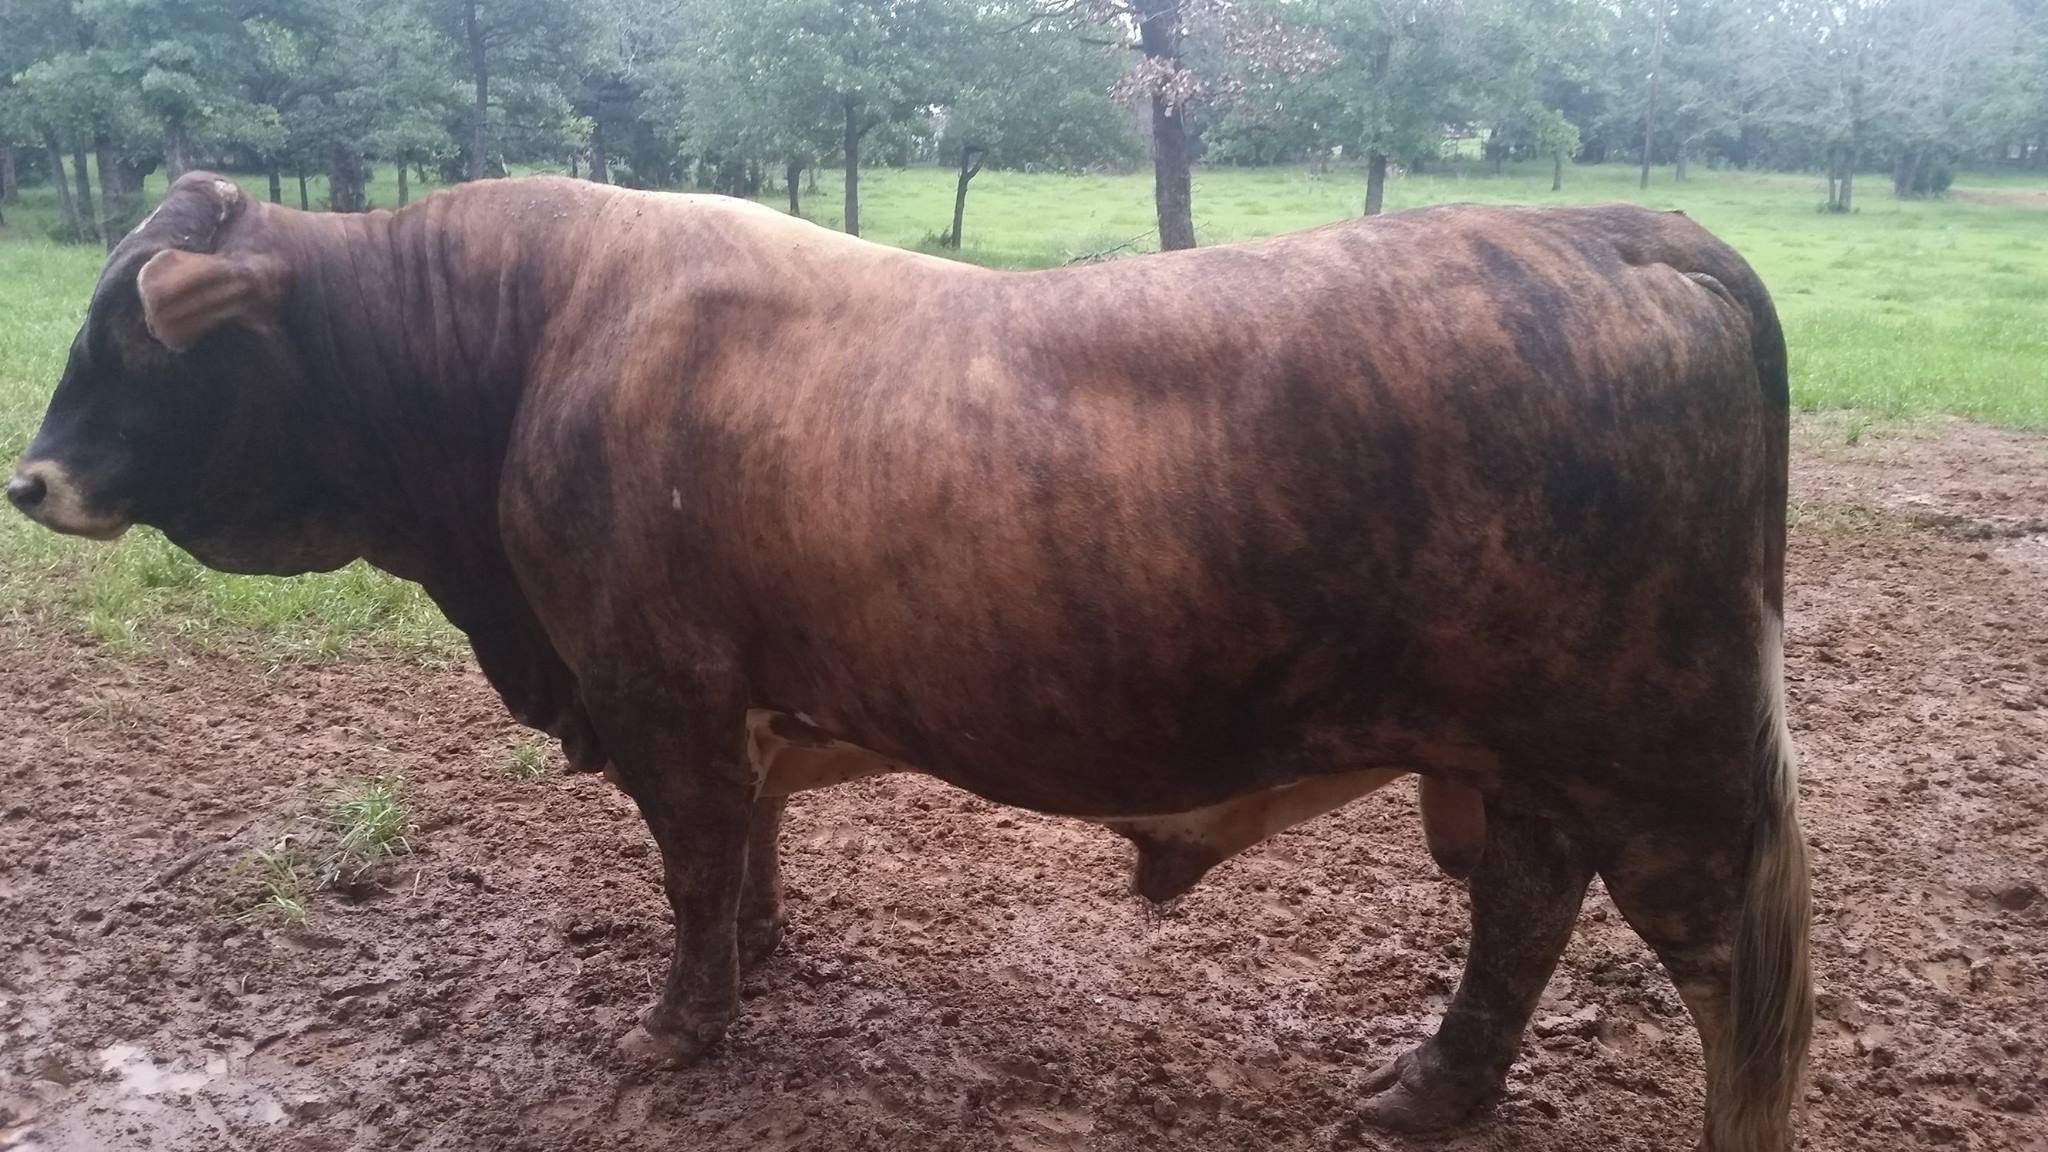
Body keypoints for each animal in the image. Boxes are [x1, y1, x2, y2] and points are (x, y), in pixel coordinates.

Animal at [8, 171, 1810, 1151]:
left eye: (124, 342)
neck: (513, 354)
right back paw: (1429, 1086)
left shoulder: (660, 689)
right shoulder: (731, 705)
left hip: (1663, 756)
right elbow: (743, 845)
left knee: (1734, 985)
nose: (27, 480)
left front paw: (681, 1023)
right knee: (1520, 914)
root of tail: (1632, 232)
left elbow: (688, 862)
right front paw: (759, 957)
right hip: (1531, 762)